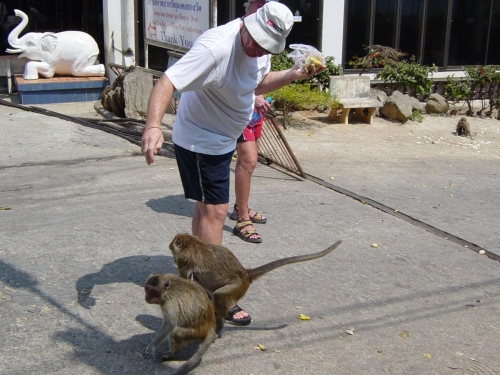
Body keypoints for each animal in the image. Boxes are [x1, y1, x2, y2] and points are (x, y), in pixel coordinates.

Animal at [170, 235, 342, 334]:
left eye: (173, 245)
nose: (169, 246)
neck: (192, 243)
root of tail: (245, 274)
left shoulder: (184, 260)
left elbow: (185, 279)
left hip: (237, 287)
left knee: (219, 295)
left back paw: (218, 323)